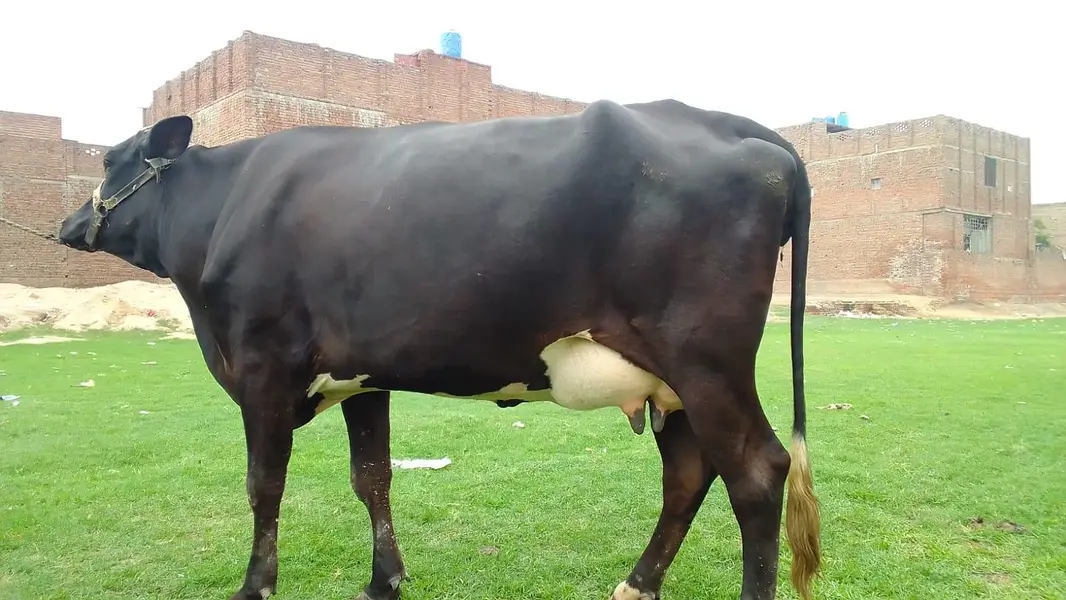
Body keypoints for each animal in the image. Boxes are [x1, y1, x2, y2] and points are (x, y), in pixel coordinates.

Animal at [58, 98, 820, 600]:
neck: (223, 211)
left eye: (110, 160)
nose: (67, 224)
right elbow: (373, 476)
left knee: (756, 472)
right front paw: (384, 581)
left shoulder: (262, 368)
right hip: (671, 380)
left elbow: (262, 485)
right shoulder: (361, 376)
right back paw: (635, 585)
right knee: (689, 474)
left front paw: (255, 587)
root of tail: (727, 122)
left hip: (706, 359)